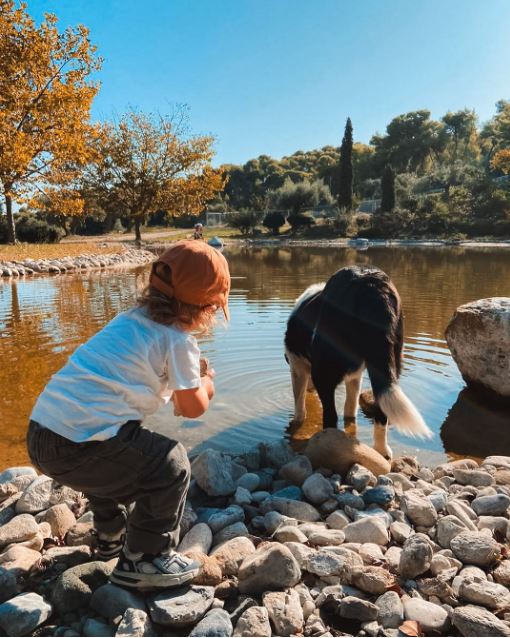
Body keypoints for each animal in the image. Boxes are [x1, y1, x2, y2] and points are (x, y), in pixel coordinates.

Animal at [284, 264, 432, 460]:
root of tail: (371, 285)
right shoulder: (355, 376)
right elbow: (350, 409)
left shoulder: (297, 366)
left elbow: (299, 404)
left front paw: (296, 423)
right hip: (391, 361)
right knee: (381, 412)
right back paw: (382, 451)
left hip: (324, 372)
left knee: (330, 416)